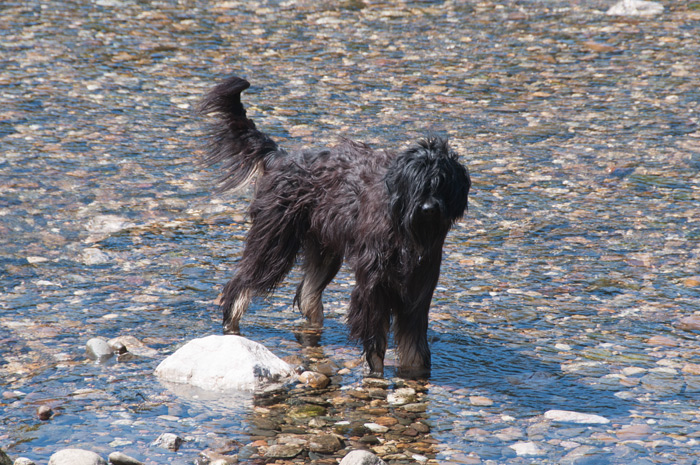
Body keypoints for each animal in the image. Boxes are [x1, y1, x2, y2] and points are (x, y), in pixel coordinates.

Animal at [198, 74, 470, 376]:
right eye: (416, 184)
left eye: (442, 184)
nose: (428, 209)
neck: (402, 226)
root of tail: (280, 157)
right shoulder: (373, 284)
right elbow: (375, 339)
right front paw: (375, 373)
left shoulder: (418, 289)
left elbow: (414, 347)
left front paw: (415, 374)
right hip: (275, 242)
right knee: (241, 285)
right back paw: (231, 326)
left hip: (323, 249)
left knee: (307, 294)